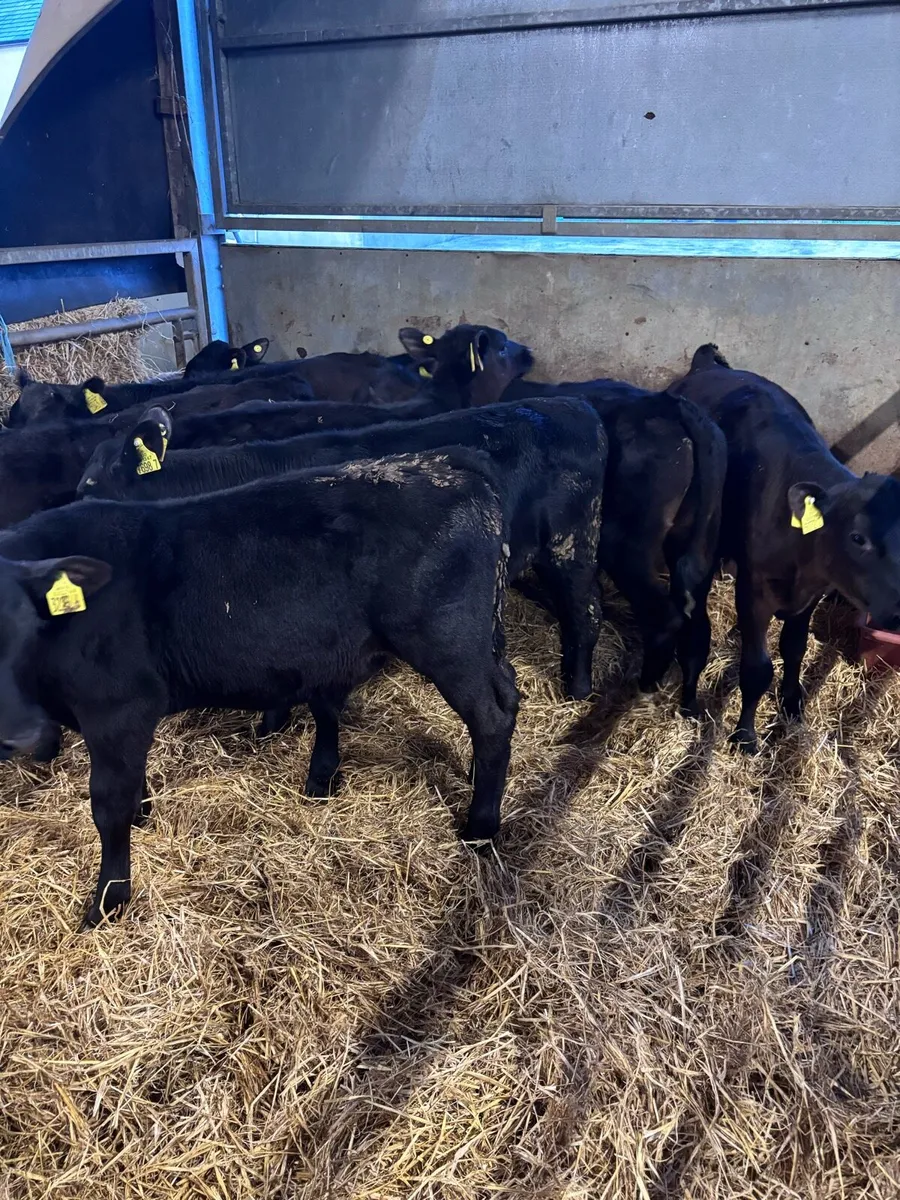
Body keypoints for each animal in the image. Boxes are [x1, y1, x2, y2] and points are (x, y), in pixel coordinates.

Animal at [0, 448, 519, 926]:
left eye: (25, 630)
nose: (18, 737)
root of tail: (450, 466)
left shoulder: (119, 707)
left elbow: (108, 804)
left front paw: (108, 902)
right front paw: (143, 815)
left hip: (448, 640)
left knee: (491, 715)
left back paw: (480, 826)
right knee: (506, 692)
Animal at [502, 377, 726, 716]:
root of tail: (671, 405)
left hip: (624, 546)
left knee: (664, 617)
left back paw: (644, 686)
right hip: (698, 546)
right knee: (697, 626)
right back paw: (688, 703)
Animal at [673, 345, 900, 750]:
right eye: (858, 537)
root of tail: (706, 364)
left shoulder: (810, 595)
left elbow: (795, 648)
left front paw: (792, 703)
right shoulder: (755, 593)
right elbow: (757, 667)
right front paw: (745, 735)